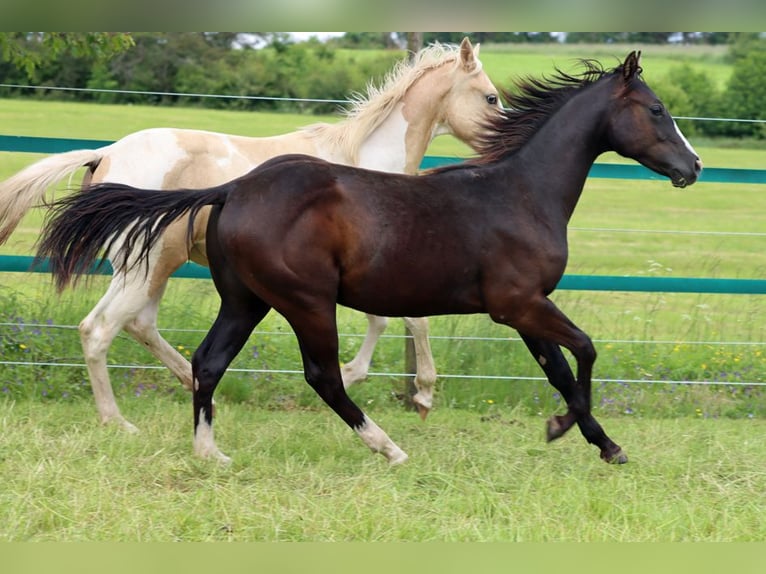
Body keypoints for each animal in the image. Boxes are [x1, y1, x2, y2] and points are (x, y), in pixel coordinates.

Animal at [1, 37, 504, 432]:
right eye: (491, 98)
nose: (502, 146)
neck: (364, 160)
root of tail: (104, 154)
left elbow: (383, 320)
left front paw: (356, 376)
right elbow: (412, 320)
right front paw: (421, 396)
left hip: (149, 265)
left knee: (138, 325)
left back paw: (195, 390)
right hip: (146, 265)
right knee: (100, 329)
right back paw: (119, 422)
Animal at [40, 53, 704, 468]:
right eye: (656, 109)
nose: (693, 166)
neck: (520, 191)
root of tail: (233, 190)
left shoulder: (524, 311)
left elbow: (561, 370)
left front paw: (604, 445)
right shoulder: (518, 304)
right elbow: (585, 352)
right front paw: (565, 429)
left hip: (246, 300)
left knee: (206, 361)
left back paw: (209, 451)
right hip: (304, 302)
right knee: (320, 376)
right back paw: (388, 448)